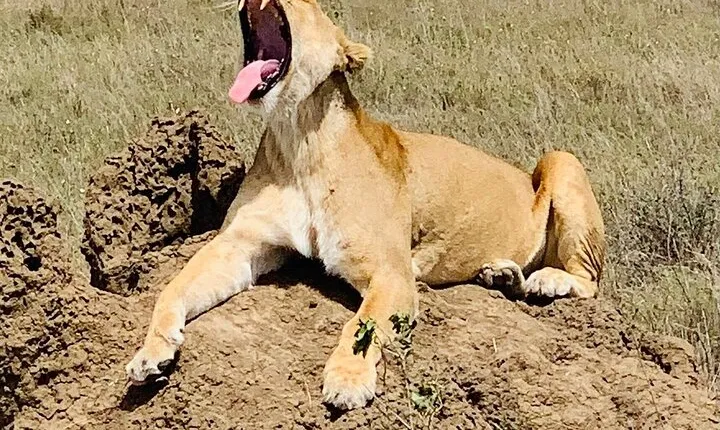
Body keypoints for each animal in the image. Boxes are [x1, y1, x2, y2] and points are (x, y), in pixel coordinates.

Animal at [126, 0, 606, 411]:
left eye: (308, 3)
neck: (297, 138)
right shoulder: (240, 245)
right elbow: (174, 286)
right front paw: (150, 351)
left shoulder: (393, 272)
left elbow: (362, 324)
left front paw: (347, 381)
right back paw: (502, 275)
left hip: (561, 159)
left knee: (590, 281)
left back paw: (548, 281)